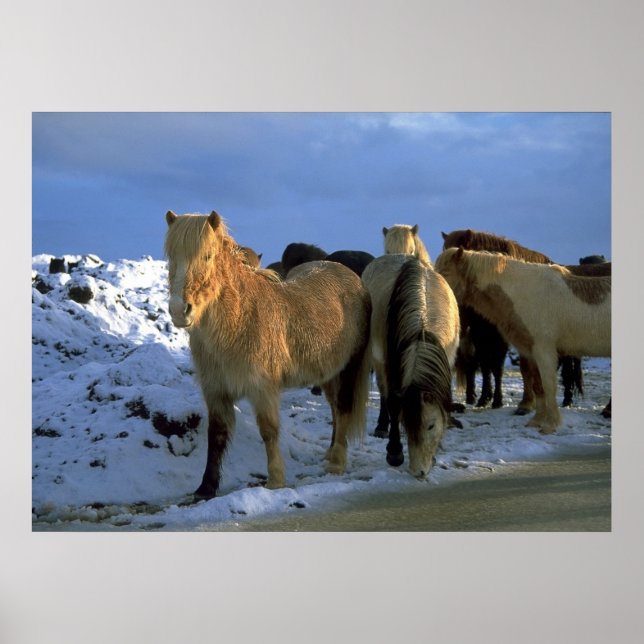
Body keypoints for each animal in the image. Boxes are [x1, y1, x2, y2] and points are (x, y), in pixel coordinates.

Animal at [164, 211, 372, 499]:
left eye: (206, 256)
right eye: (171, 256)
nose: (178, 310)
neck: (240, 320)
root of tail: (350, 276)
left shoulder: (262, 388)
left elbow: (268, 430)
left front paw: (275, 481)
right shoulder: (215, 390)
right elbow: (216, 435)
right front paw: (206, 488)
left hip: (350, 366)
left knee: (343, 408)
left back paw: (337, 463)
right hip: (329, 372)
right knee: (334, 409)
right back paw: (330, 453)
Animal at [362, 254, 460, 476]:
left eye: (431, 425)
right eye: (406, 425)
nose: (418, 471)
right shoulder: (390, 364)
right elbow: (393, 403)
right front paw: (394, 453)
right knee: (383, 392)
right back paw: (382, 426)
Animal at [434, 247, 611, 434]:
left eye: (445, 272)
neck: (527, 294)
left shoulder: (545, 350)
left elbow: (549, 386)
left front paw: (550, 425)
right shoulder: (532, 352)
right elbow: (538, 386)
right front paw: (537, 421)